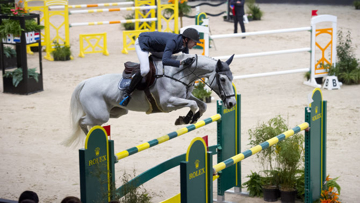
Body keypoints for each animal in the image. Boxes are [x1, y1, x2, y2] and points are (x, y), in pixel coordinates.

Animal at [63, 54, 238, 146]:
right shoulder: (167, 103)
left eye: (231, 78)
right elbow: (194, 104)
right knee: (81, 121)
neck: (181, 73)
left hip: (117, 112)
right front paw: (184, 119)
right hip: (100, 115)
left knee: (92, 122)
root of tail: (85, 83)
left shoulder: (184, 96)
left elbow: (201, 105)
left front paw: (192, 118)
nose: (231, 104)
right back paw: (88, 139)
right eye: (223, 79)